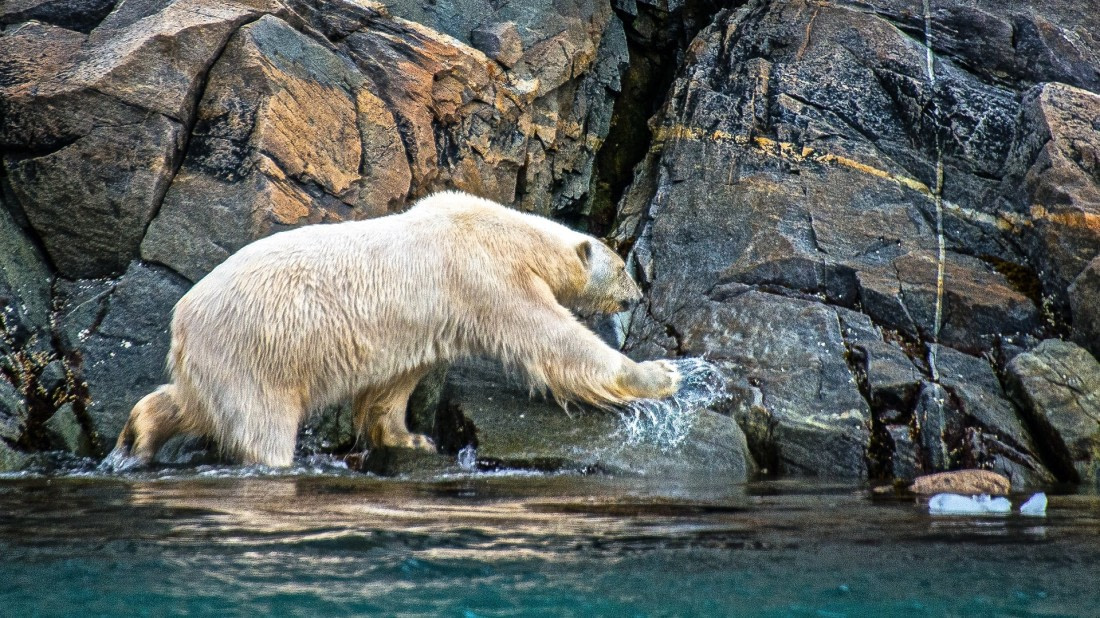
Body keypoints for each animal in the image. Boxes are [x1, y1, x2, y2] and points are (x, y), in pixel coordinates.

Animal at [111, 191, 682, 467]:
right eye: (623, 267)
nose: (638, 296)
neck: (506, 233)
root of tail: (182, 319)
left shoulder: (429, 319)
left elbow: (393, 384)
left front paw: (413, 440)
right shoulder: (485, 278)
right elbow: (553, 340)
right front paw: (661, 373)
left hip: (216, 358)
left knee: (190, 402)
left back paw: (137, 435)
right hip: (255, 350)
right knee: (260, 424)